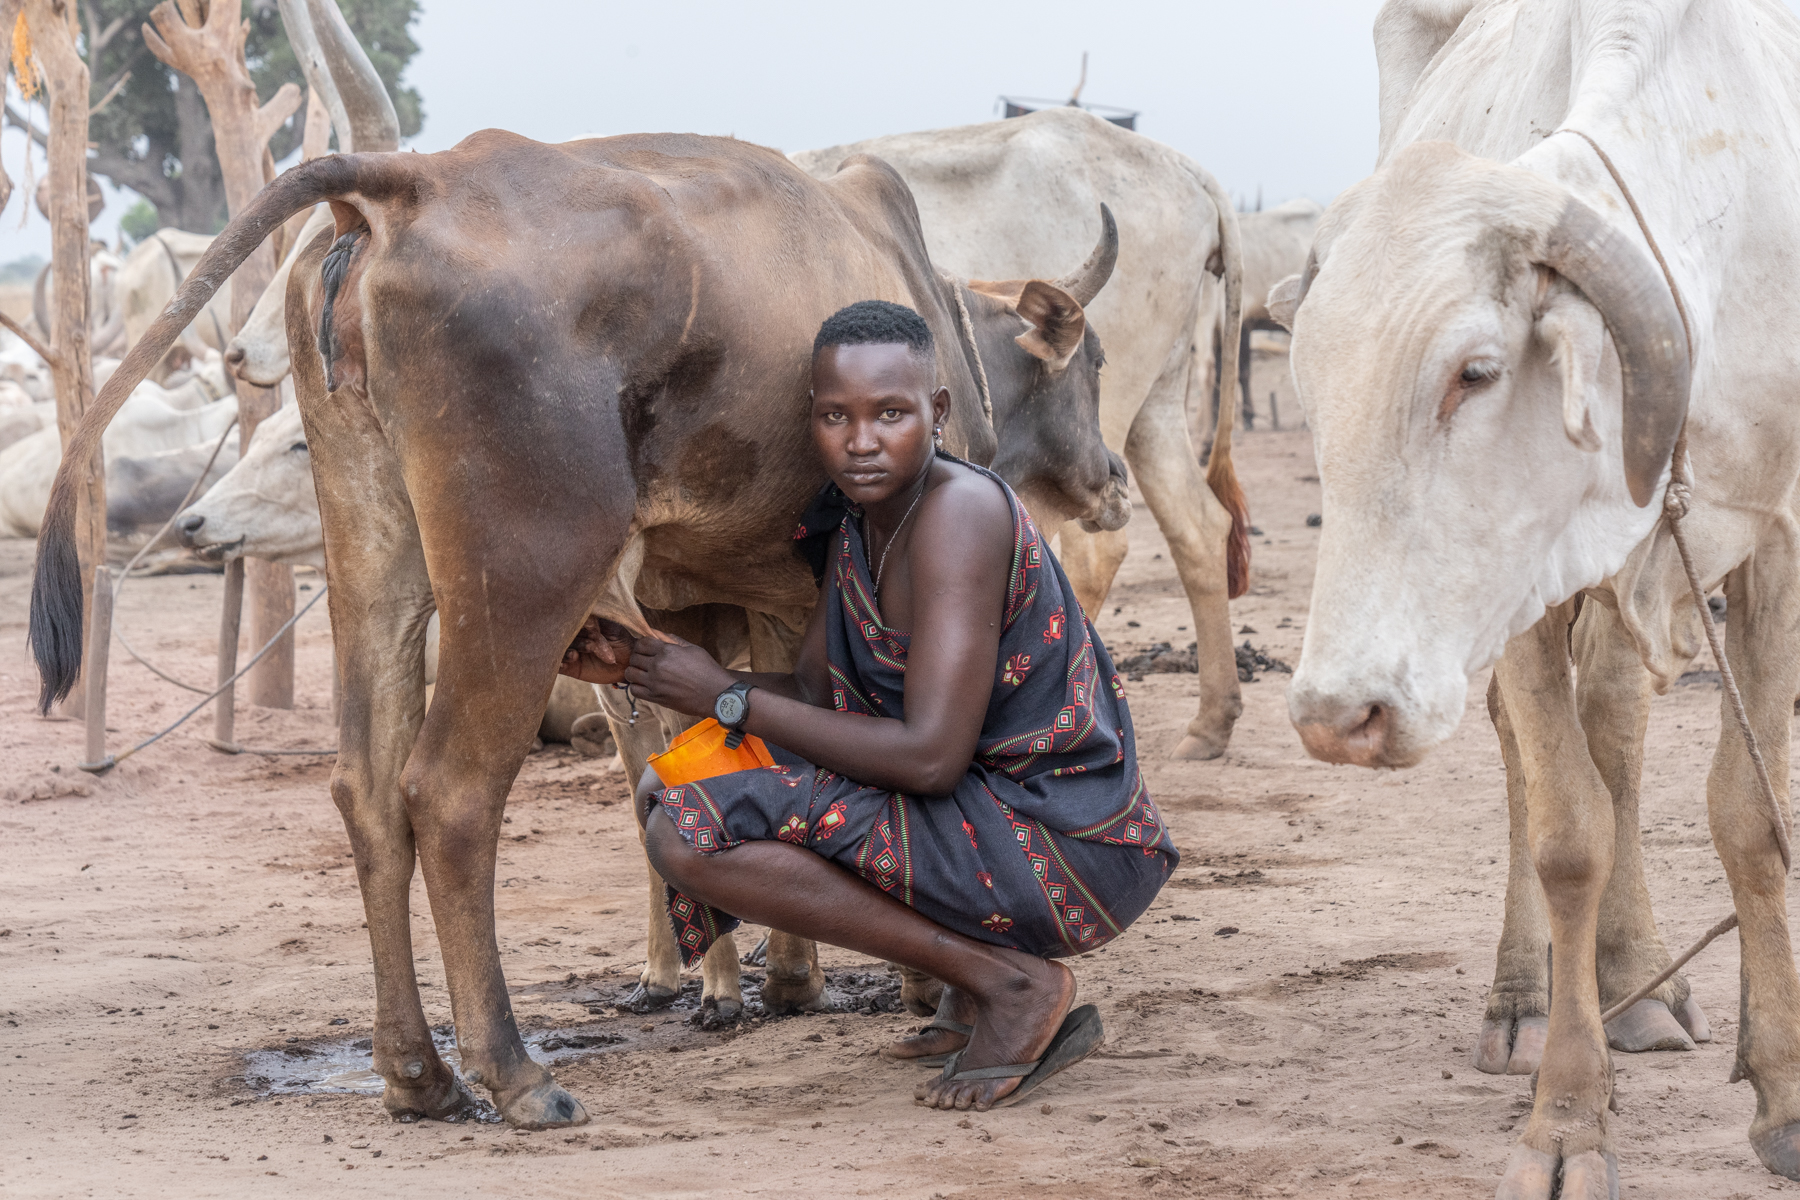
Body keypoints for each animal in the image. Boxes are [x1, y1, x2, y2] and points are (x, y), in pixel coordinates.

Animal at [32, 126, 1125, 1130]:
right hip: (525, 575)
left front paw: (792, 981)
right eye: (1094, 362)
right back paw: (512, 1073)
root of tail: (412, 180)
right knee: (450, 794)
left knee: (369, 789)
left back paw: (418, 1073)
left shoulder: (759, 597)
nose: (1113, 478)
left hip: (374, 555)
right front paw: (930, 996)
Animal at [792, 106, 1251, 761]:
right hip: (1160, 399)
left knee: (1095, 553)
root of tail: (1187, 169)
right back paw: (1211, 722)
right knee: (1199, 524)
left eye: (1097, 360)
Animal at [1273, 0, 1800, 1191]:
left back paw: (1650, 986)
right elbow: (1566, 830)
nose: (1337, 715)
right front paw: (1567, 1117)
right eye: (1310, 383)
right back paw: (1535, 1000)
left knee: (1619, 722)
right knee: (1541, 766)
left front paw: (1786, 1095)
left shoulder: (1782, 540)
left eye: (1473, 372)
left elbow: (1750, 817)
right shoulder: (1518, 588)